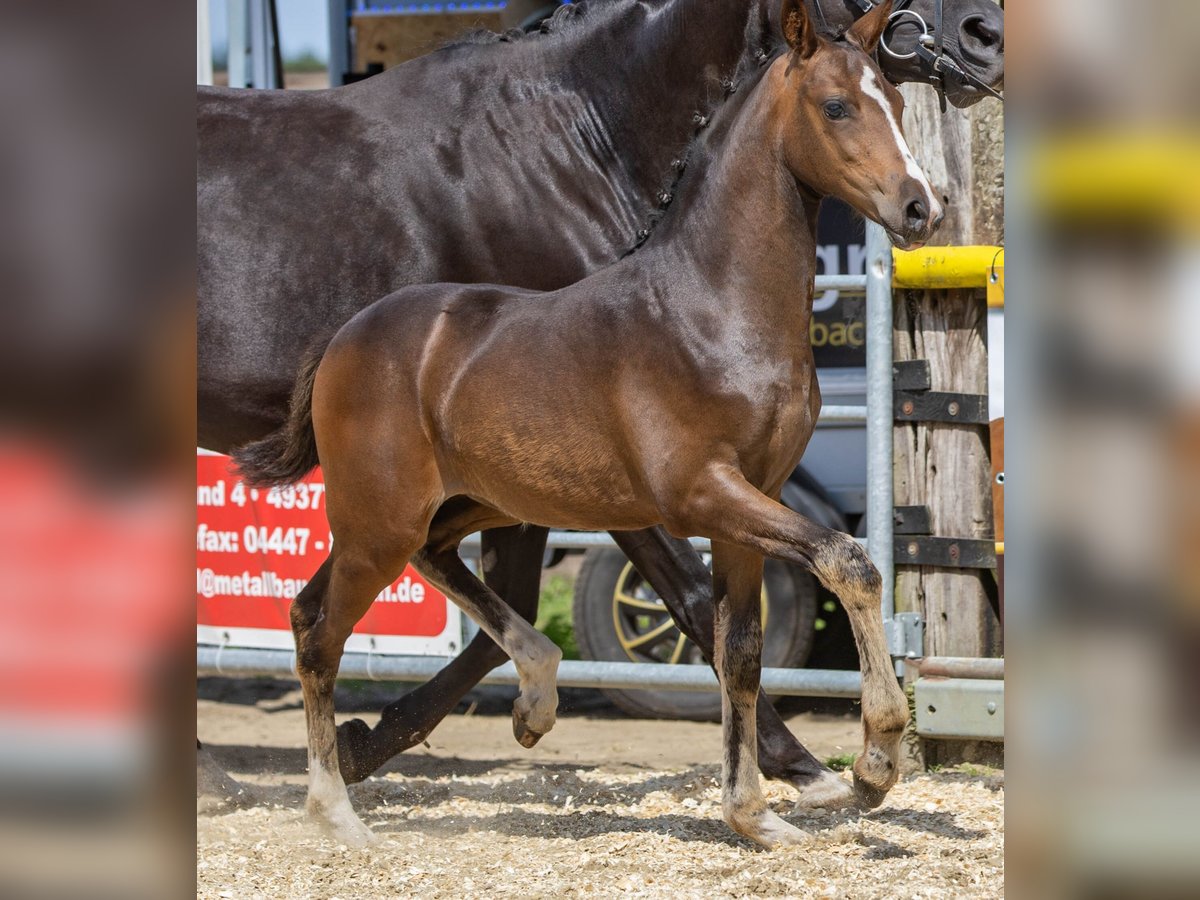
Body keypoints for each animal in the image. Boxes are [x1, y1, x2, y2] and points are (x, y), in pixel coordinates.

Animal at [199, 0, 1003, 811]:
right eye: (836, 106)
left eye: (895, 101)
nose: (922, 207)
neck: (711, 305)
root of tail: (344, 336)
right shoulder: (694, 494)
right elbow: (828, 568)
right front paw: (863, 759)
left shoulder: (755, 497)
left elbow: (740, 639)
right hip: (391, 511)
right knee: (322, 618)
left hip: (469, 500)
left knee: (382, 580)